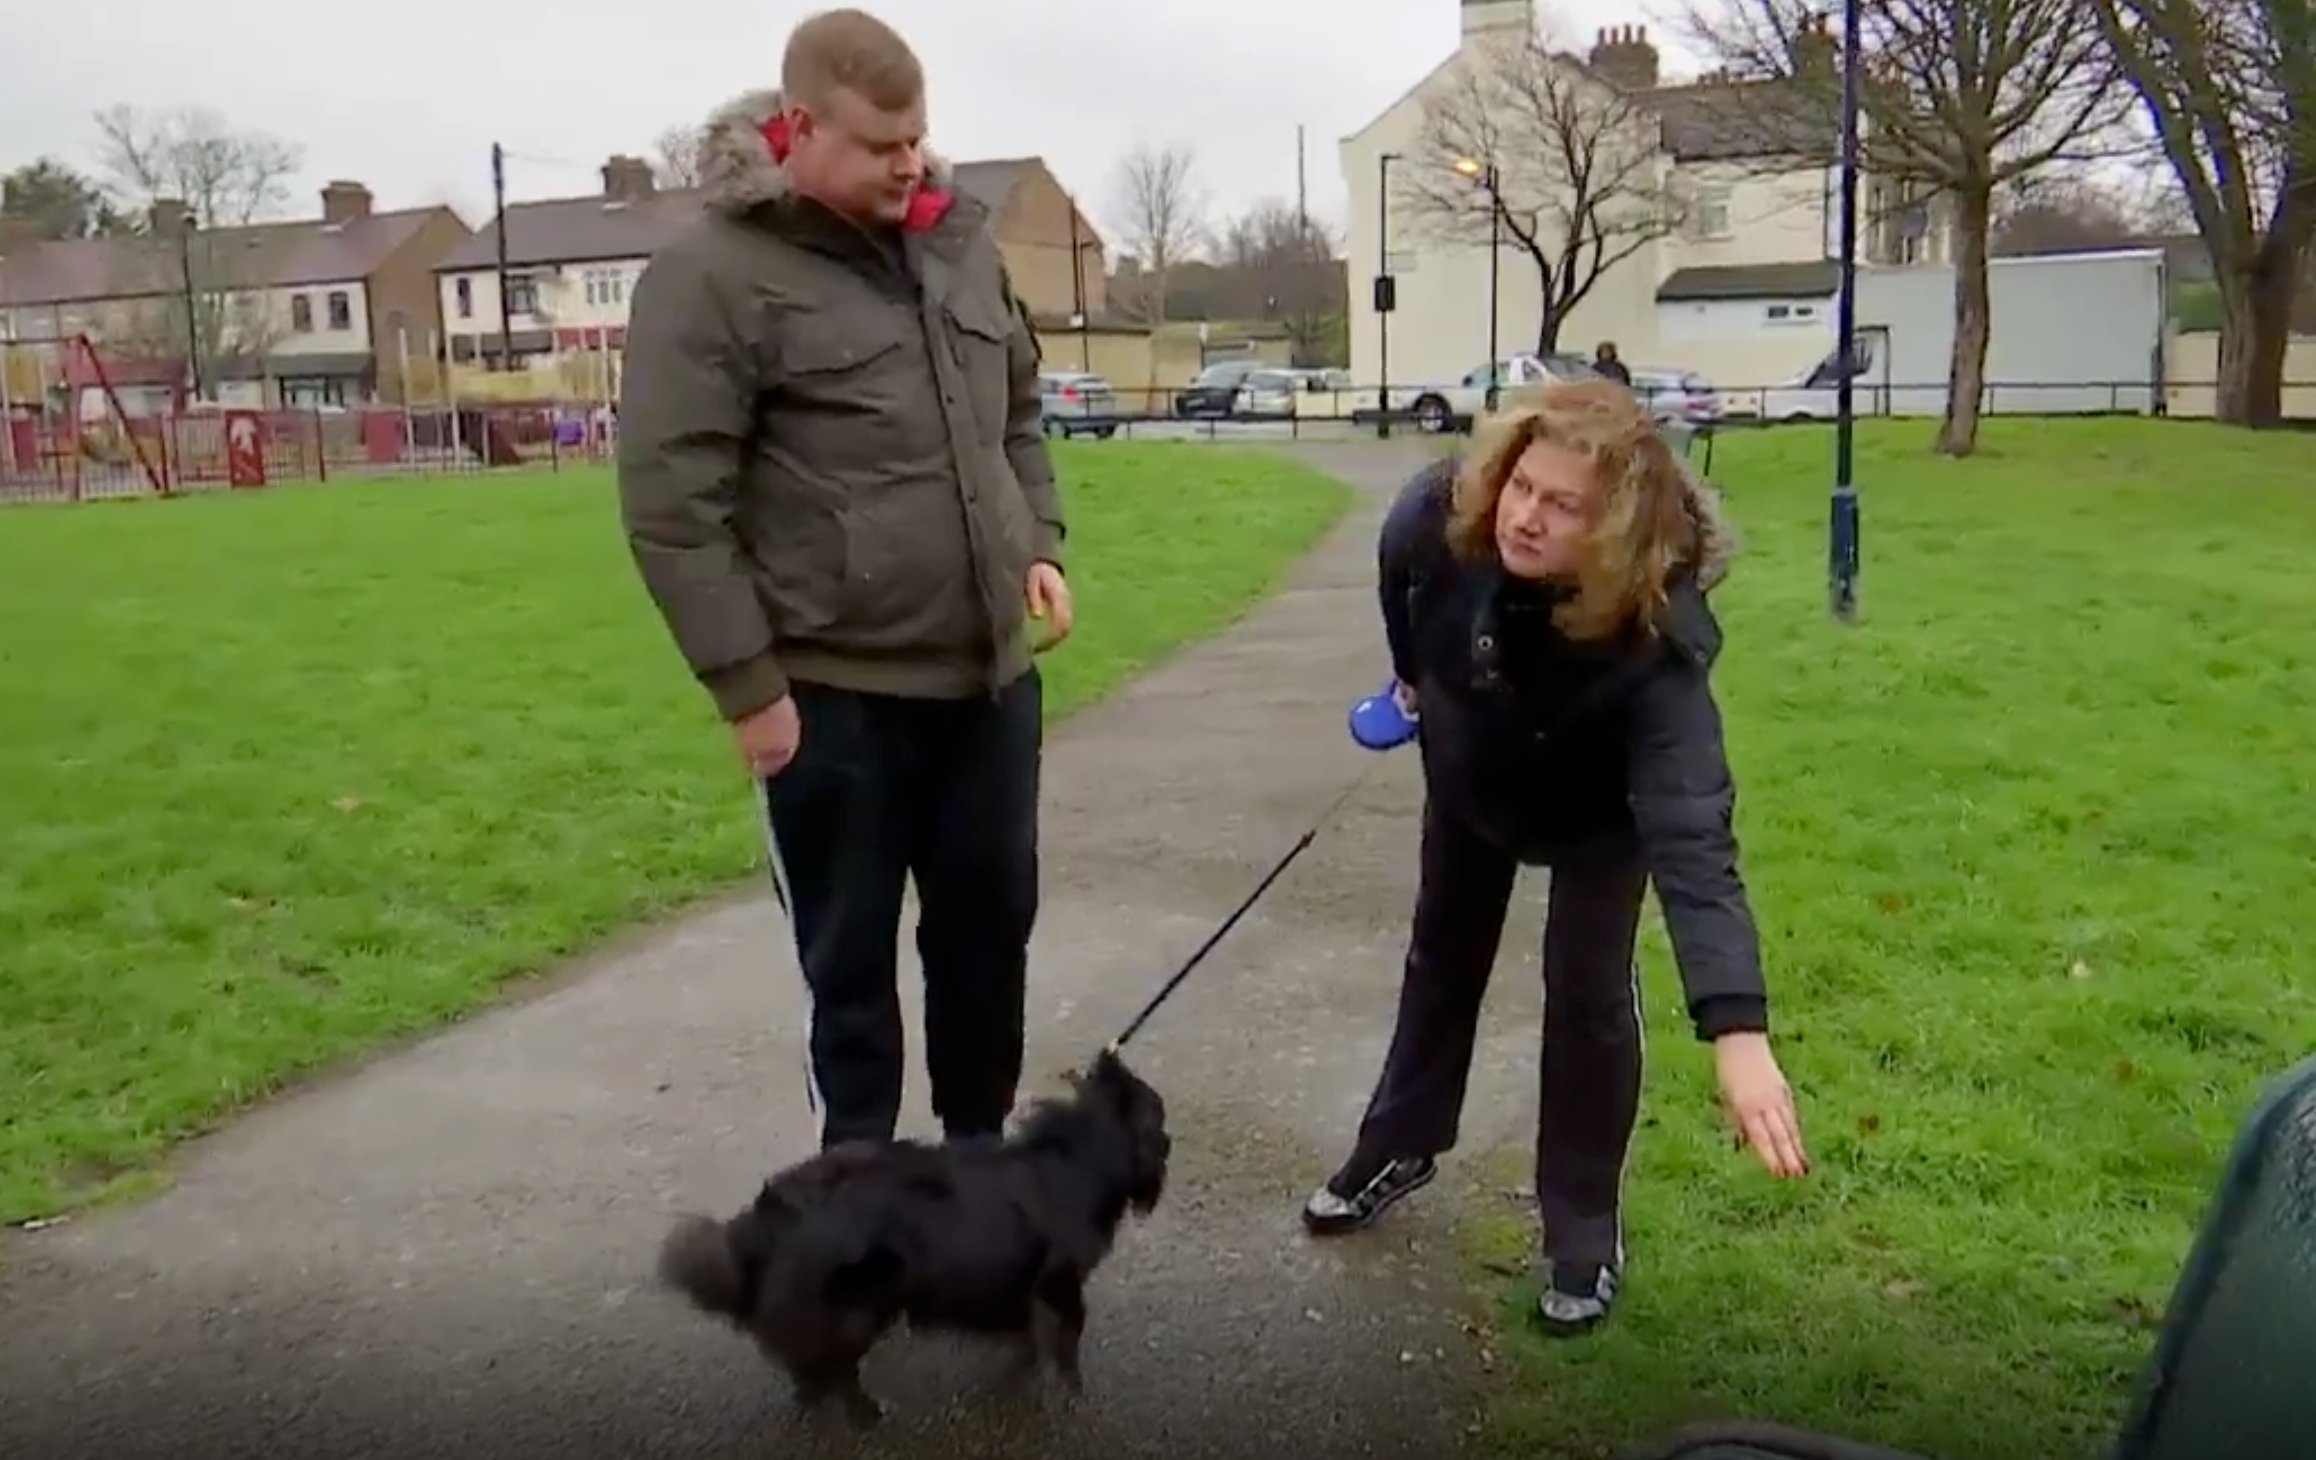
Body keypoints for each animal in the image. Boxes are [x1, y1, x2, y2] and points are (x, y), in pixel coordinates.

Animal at [657, 1052, 1167, 1427]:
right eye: (1159, 1114)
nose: (1168, 1139)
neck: (1077, 1158)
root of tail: (769, 1214)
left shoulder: (1021, 1284)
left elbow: (1026, 1331)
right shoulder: (1061, 1282)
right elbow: (1067, 1340)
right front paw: (1070, 1391)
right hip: (859, 1305)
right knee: (835, 1366)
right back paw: (865, 1413)